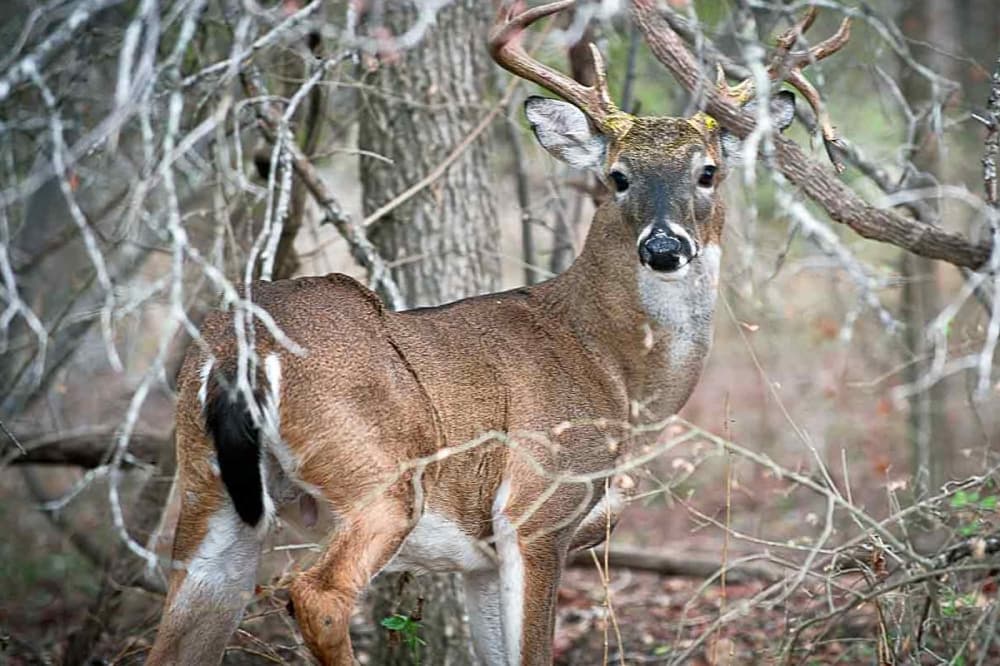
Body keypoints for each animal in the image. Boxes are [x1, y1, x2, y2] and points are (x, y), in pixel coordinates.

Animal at [148, 1, 849, 664]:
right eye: (618, 176)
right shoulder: (537, 510)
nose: (664, 247)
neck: (613, 369)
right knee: (317, 595)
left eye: (707, 172)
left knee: (180, 629)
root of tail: (241, 348)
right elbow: (534, 651)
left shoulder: (479, 559)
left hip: (210, 495)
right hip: (378, 474)